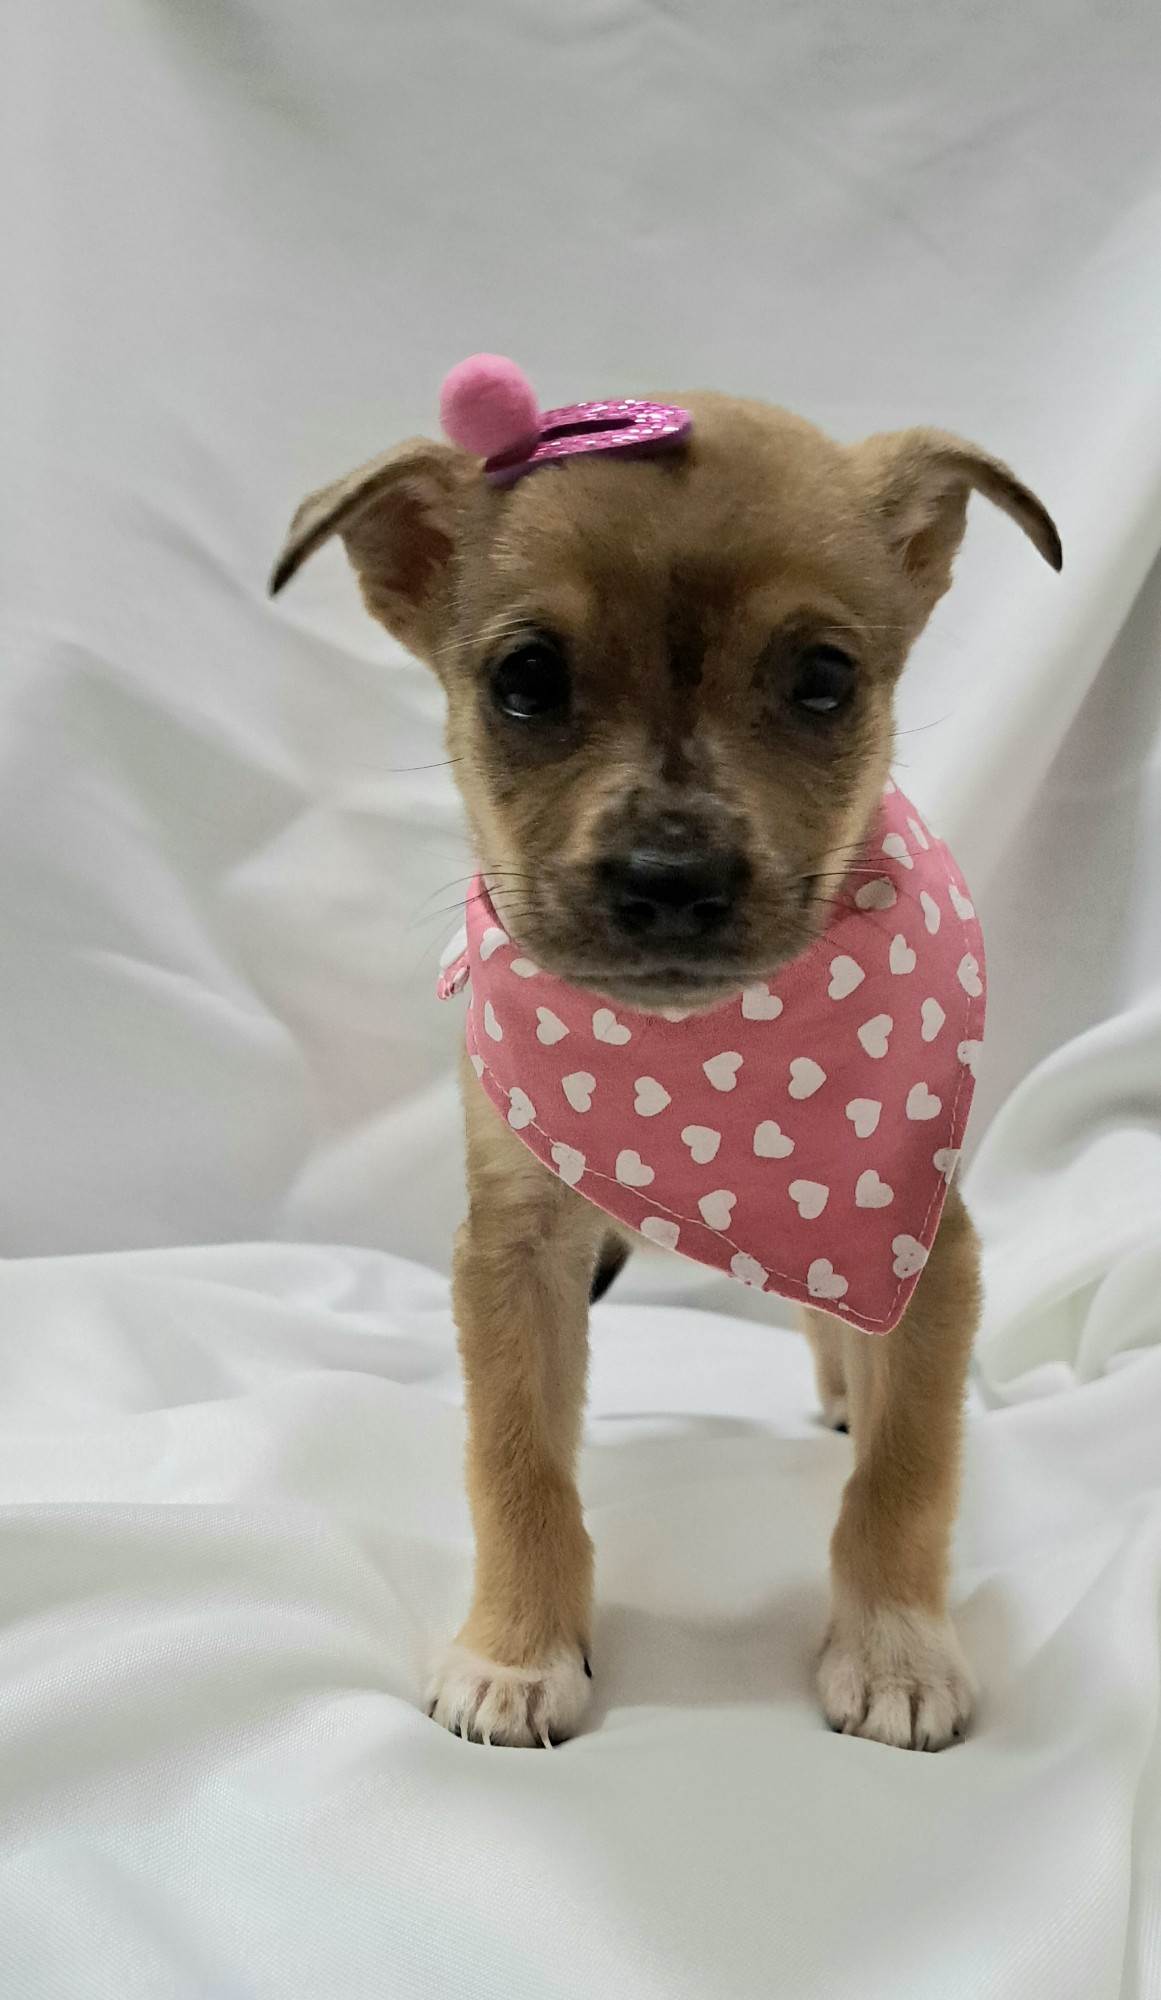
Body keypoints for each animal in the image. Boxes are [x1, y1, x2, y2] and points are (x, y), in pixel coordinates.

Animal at [271, 366, 1060, 1751]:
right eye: (528, 678)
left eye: (823, 678)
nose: (671, 877)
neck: (695, 1063)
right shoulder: (517, 1244)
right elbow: (518, 1460)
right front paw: (518, 1648)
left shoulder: (921, 1240)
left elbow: (906, 1468)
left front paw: (897, 1646)